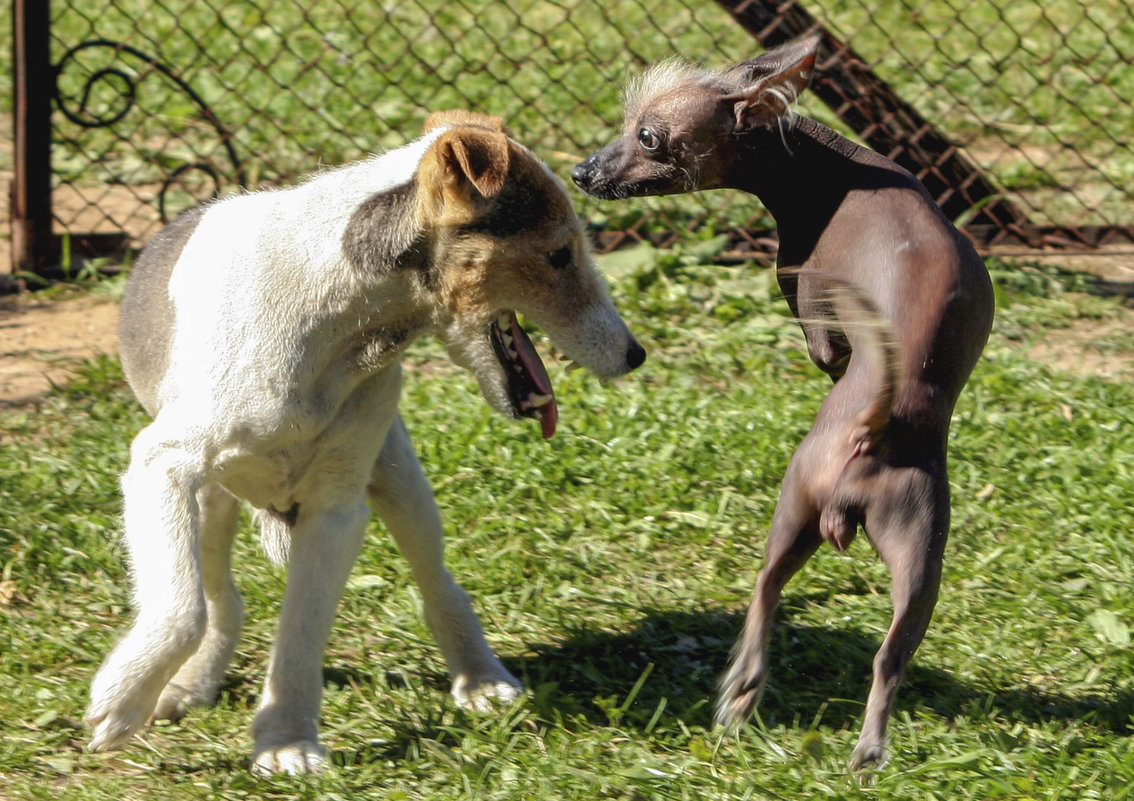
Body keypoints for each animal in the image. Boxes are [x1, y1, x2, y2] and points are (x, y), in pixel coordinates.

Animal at [83, 108, 644, 771]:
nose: (635, 355)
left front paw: (287, 741)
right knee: (218, 599)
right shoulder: (163, 464)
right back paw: (188, 685)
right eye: (559, 254)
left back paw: (481, 679)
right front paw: (121, 702)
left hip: (399, 482)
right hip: (208, 501)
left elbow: (301, 630)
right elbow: (183, 609)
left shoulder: (337, 508)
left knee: (439, 583)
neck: (330, 318)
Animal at [576, 34, 993, 762]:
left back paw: (741, 692)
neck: (837, 169)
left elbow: (825, 351)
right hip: (922, 555)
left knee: (765, 590)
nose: (581, 172)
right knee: (889, 656)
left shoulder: (813, 317)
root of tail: (873, 432)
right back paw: (866, 751)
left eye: (649, 136)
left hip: (795, 504)